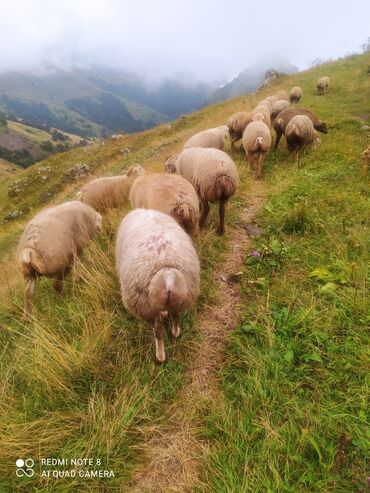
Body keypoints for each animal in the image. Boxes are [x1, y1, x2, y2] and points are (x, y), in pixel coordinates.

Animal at [115, 208, 199, 362]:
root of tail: (166, 270)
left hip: (146, 305)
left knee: (158, 331)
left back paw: (160, 356)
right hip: (182, 294)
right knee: (176, 315)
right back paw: (175, 332)